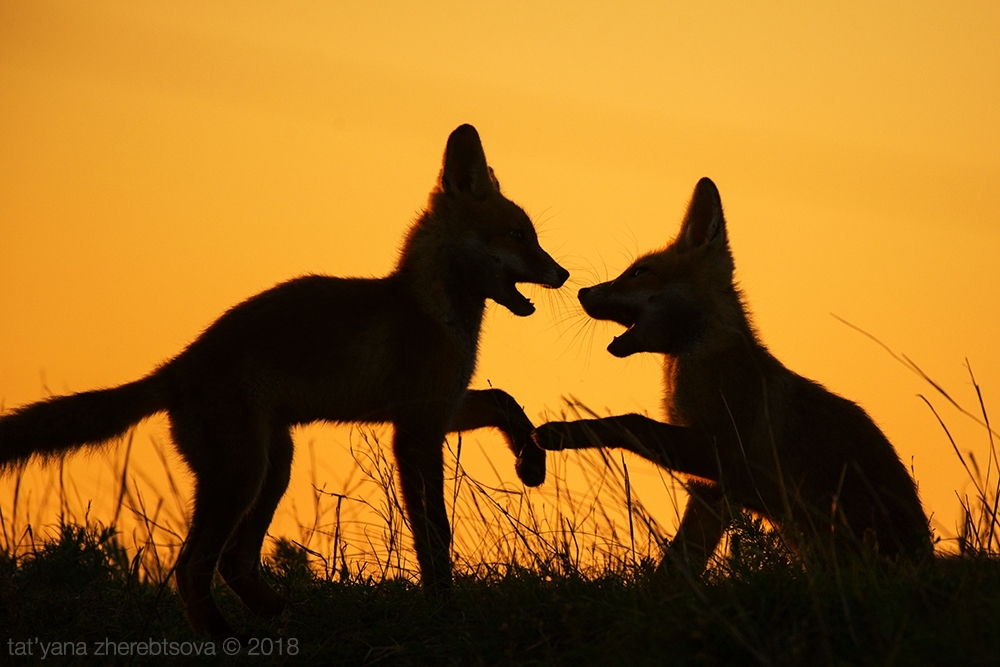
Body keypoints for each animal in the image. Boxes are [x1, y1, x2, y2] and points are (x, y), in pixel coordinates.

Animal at [0, 124, 568, 636]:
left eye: (533, 236)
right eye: (518, 236)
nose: (562, 274)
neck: (433, 312)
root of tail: (180, 364)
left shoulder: (441, 410)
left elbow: (507, 402)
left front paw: (531, 462)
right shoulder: (413, 433)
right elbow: (434, 531)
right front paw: (440, 603)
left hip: (273, 467)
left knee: (234, 561)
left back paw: (276, 614)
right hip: (242, 474)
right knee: (192, 565)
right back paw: (223, 637)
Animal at [536, 177, 932, 576]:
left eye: (639, 272)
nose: (582, 291)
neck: (703, 360)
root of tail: (926, 558)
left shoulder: (720, 450)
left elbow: (630, 422)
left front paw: (561, 432)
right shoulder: (711, 491)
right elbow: (680, 560)